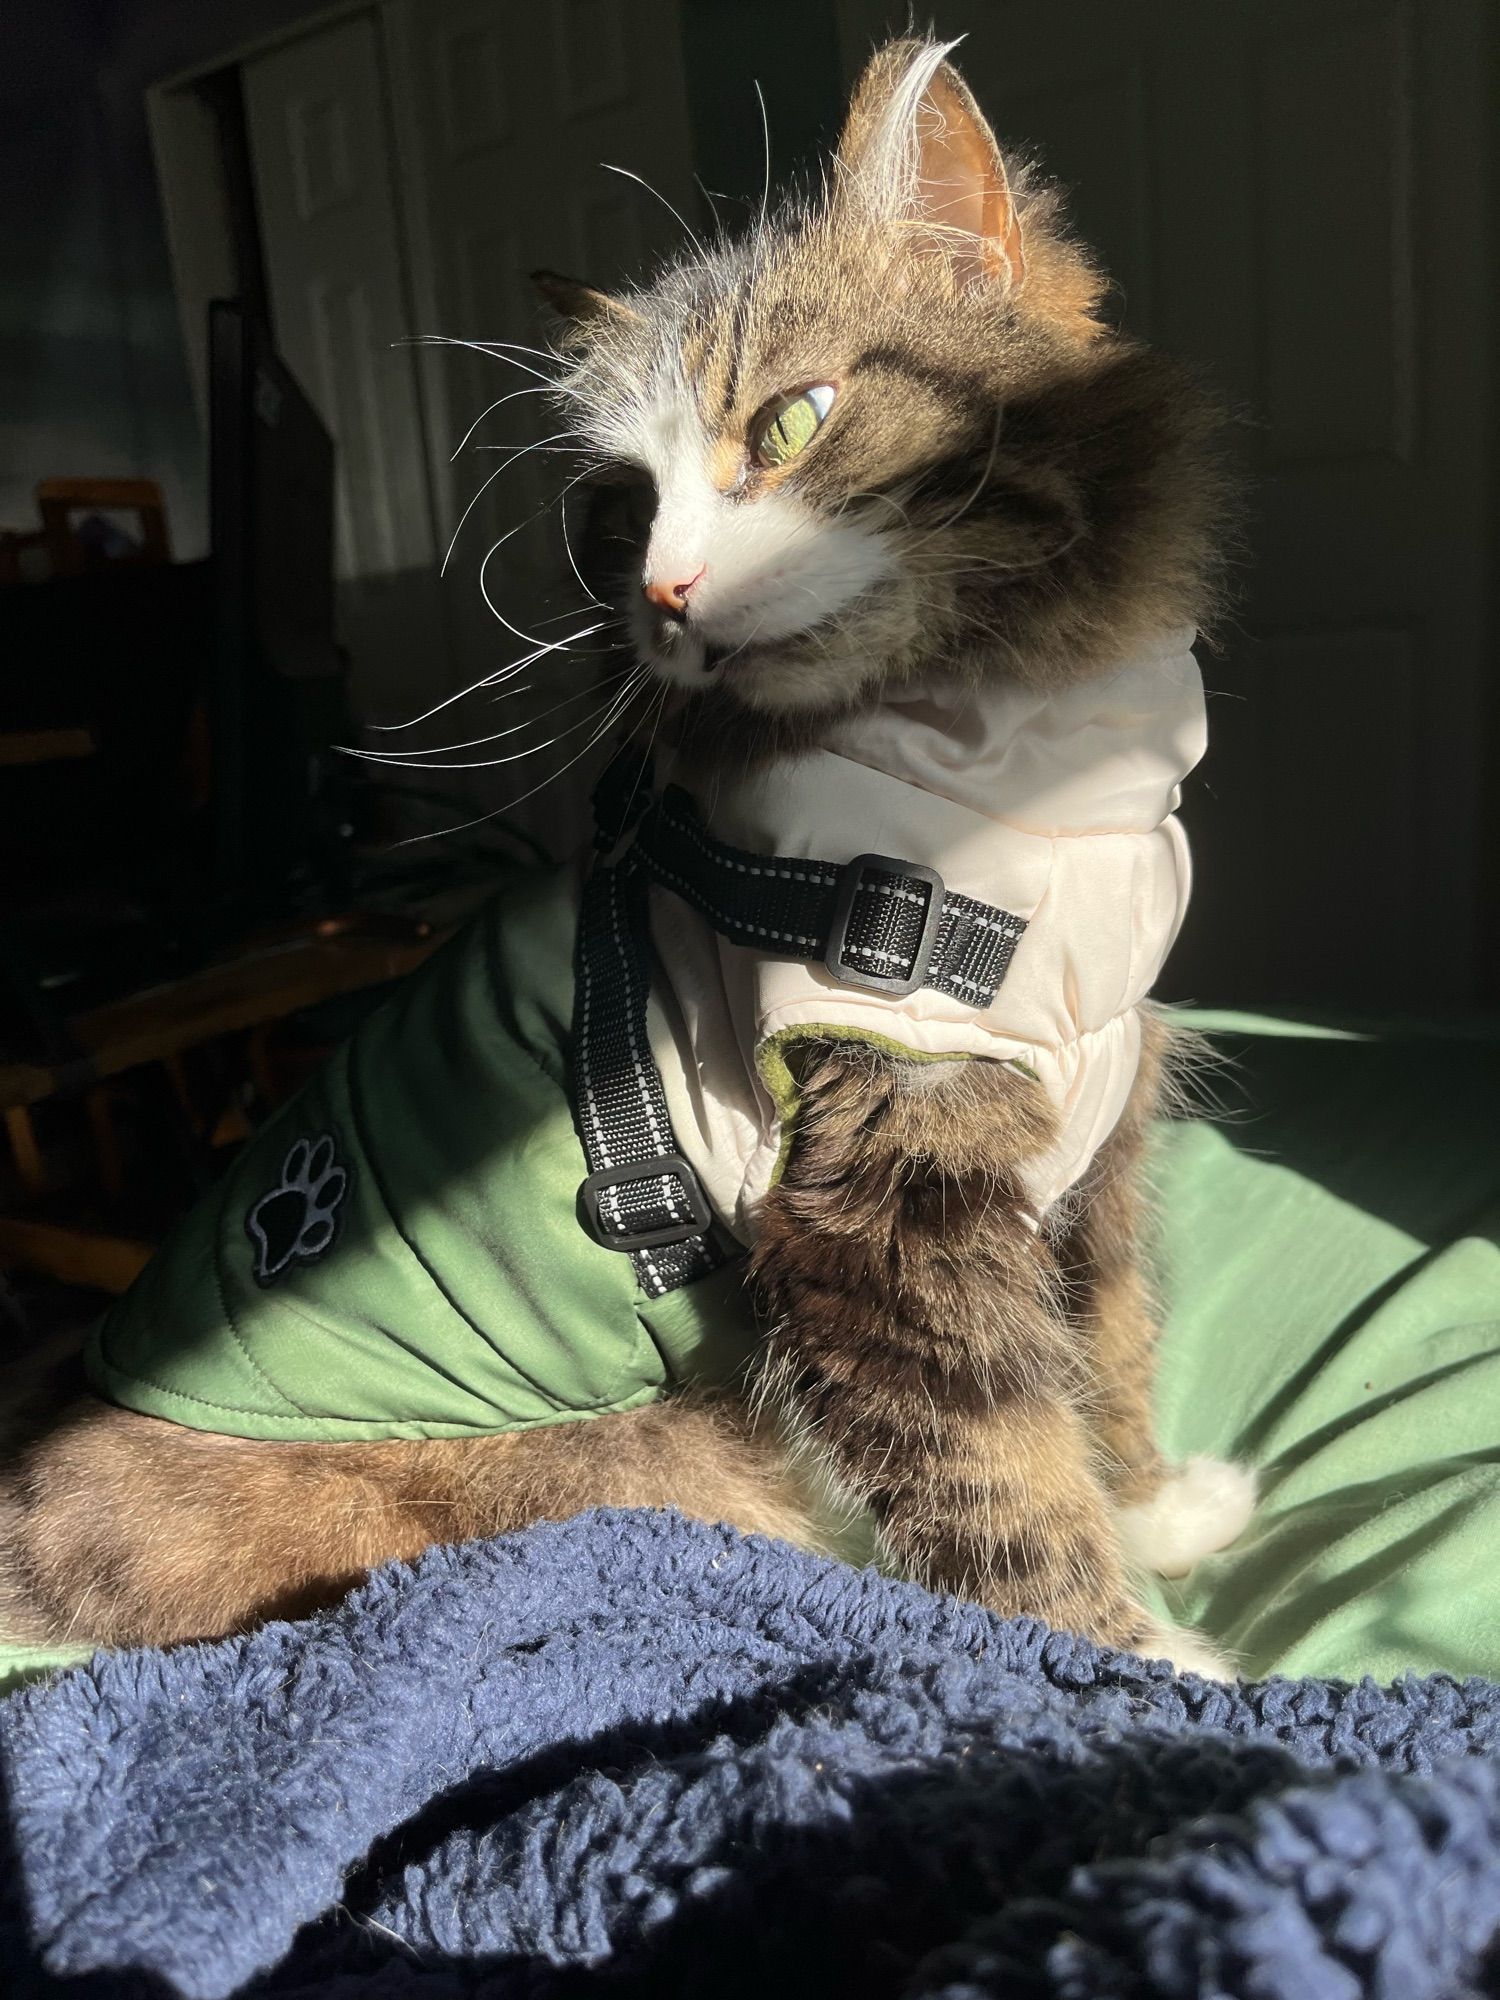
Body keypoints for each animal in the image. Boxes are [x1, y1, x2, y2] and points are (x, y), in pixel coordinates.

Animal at [0, 39, 1248, 1680]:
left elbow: (1110, 1344)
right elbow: (1001, 1475)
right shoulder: (878, 1214)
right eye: (619, 511)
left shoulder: (1093, 1135)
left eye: (791, 425)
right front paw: (1143, 1663)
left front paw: (1165, 1513)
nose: (661, 589)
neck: (1032, 787)